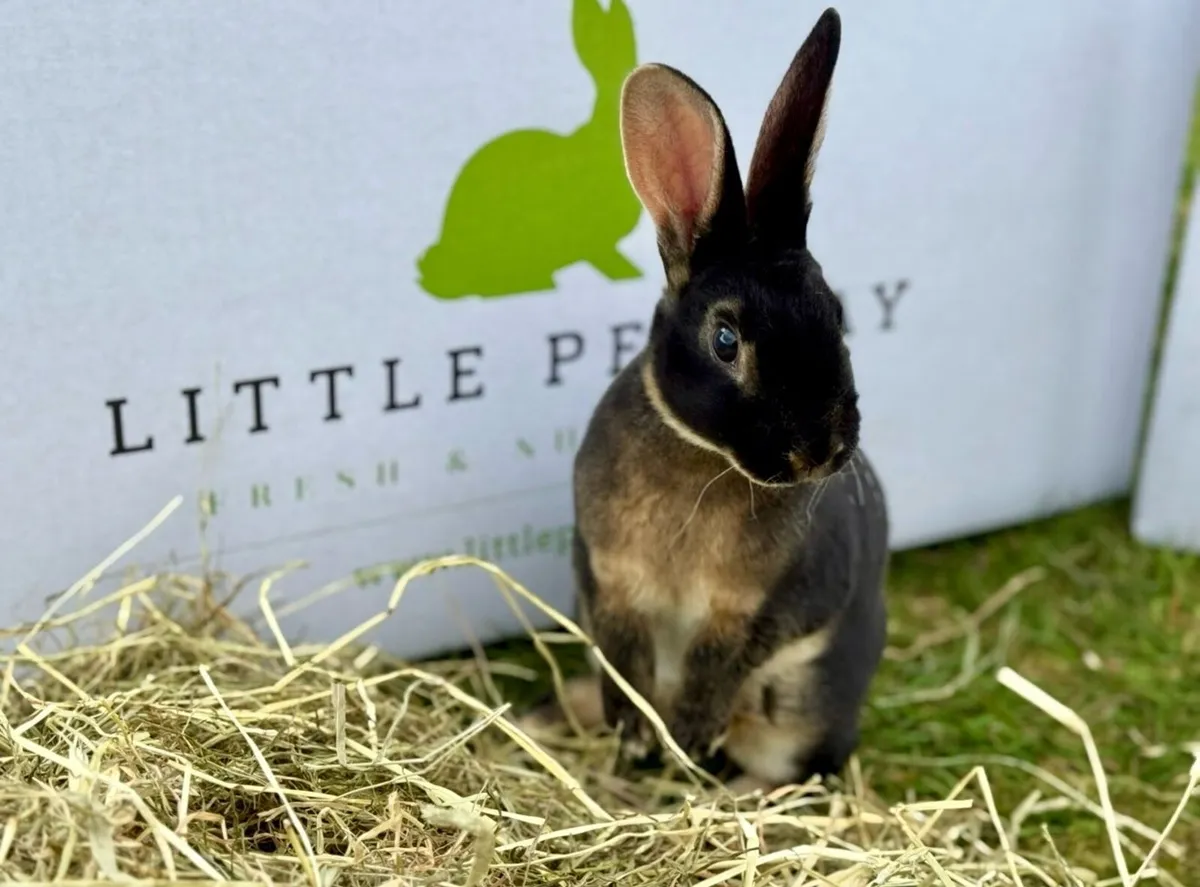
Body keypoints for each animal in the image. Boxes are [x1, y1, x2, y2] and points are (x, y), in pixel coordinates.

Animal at [528, 7, 889, 793]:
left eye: (835, 313)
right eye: (725, 340)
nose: (820, 452)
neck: (704, 460)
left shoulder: (757, 613)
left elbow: (717, 670)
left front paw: (686, 740)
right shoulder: (608, 582)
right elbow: (623, 664)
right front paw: (636, 736)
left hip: (806, 708)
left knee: (801, 769)